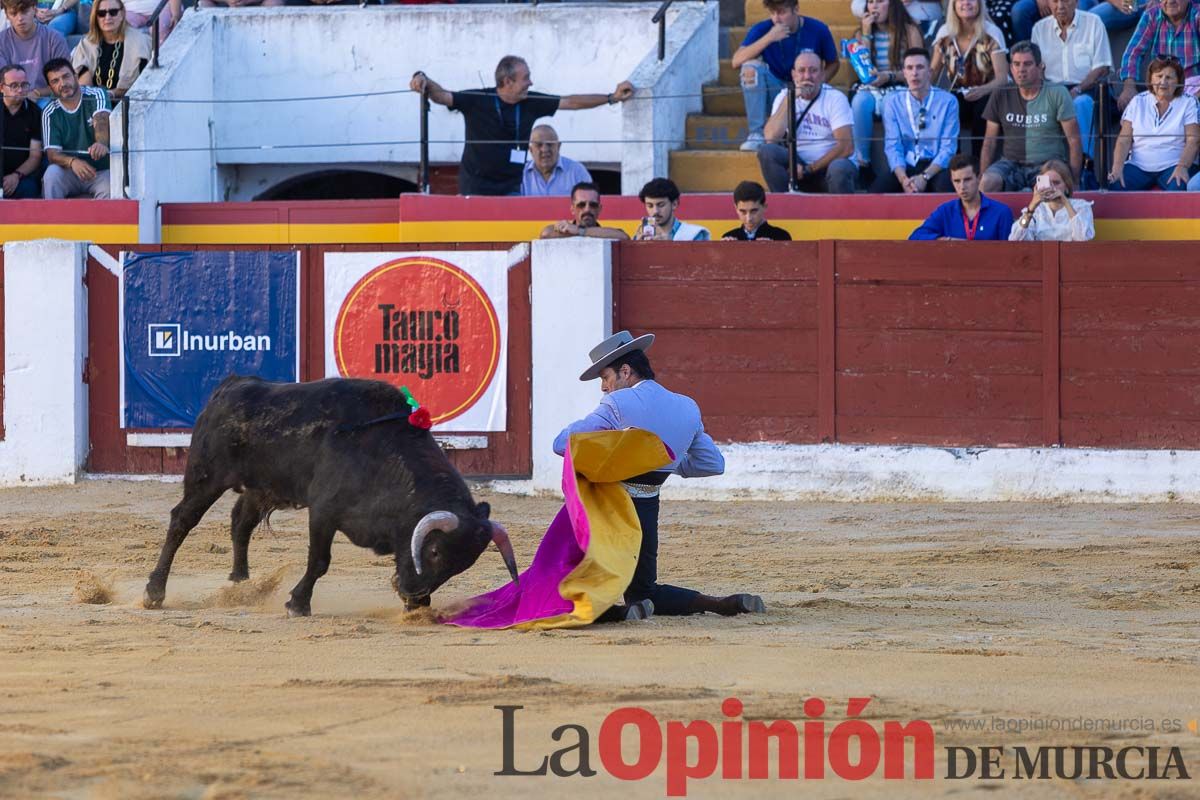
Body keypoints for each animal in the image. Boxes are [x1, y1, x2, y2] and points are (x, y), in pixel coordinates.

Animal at [142, 379, 518, 618]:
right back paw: (154, 593)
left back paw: (241, 585)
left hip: (261, 487)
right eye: (436, 551)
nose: (415, 597)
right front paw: (298, 604)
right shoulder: (323, 512)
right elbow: (319, 561)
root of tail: (228, 388)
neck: (382, 453)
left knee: (240, 523)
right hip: (206, 477)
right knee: (182, 521)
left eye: (461, 565)